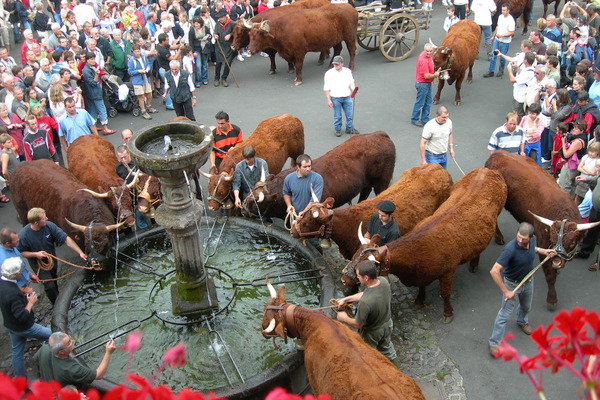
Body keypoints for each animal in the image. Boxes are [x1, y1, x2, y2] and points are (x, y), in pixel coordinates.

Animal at [241, 131, 396, 219]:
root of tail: (379, 134)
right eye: (249, 193)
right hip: (366, 183)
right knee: (365, 192)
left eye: (255, 203)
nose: (243, 209)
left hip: (381, 182)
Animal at [346, 168, 506, 322]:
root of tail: (487, 170)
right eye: (353, 257)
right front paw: (419, 301)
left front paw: (447, 313)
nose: (344, 279)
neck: (417, 250)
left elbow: (445, 293)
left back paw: (475, 262)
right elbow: (422, 287)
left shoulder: (448, 271)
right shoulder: (422, 274)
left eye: (365, 267)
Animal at [482, 150, 600, 310]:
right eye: (552, 238)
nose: (557, 262)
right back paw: (499, 237)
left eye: (572, 242)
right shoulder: (543, 243)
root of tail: (498, 153)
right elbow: (549, 274)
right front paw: (552, 299)